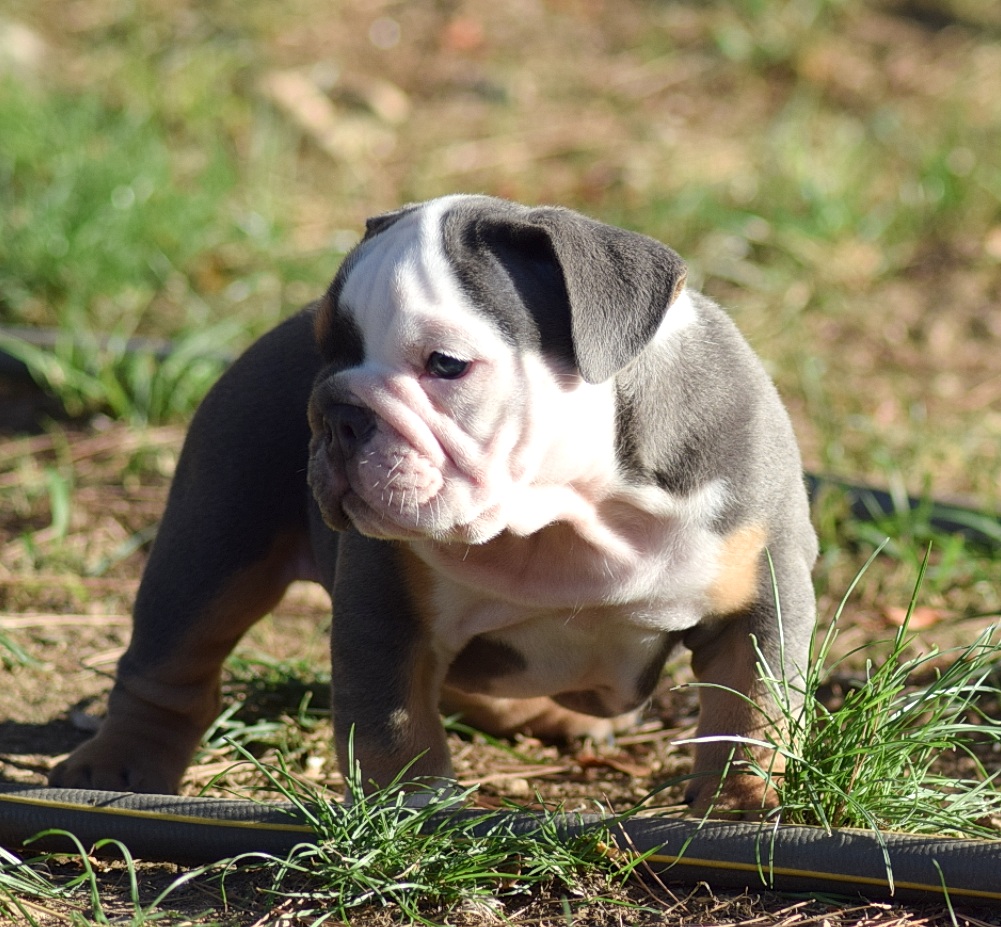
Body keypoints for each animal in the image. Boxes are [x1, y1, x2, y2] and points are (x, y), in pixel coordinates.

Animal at [50, 194, 816, 812]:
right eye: (326, 350)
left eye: (445, 364)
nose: (336, 413)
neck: (570, 514)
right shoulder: (388, 604)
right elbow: (391, 718)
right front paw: (413, 806)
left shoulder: (760, 586)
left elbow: (751, 703)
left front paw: (739, 801)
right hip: (212, 540)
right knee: (171, 659)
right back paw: (117, 767)